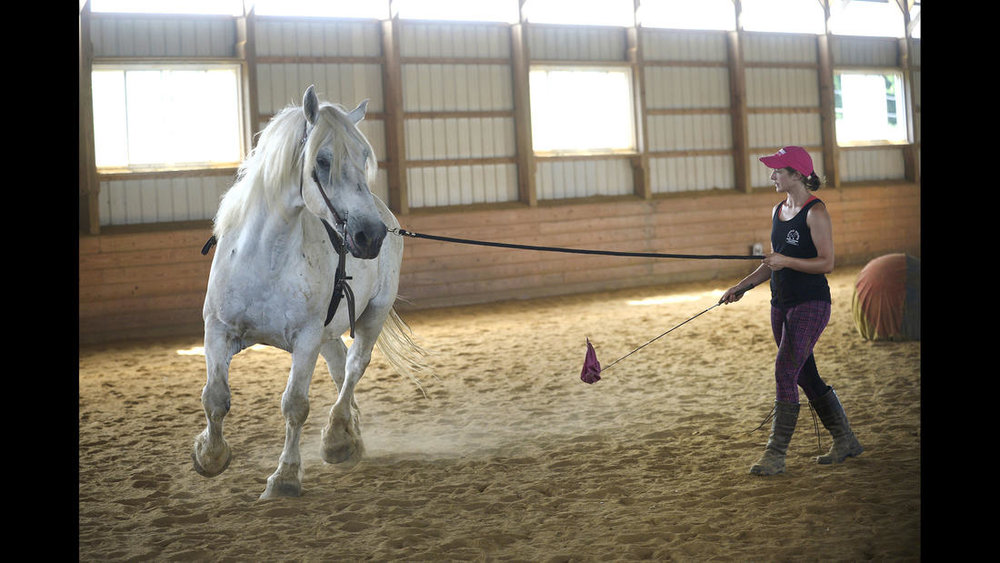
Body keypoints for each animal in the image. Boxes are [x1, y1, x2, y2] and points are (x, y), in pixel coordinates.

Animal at [194, 83, 422, 498]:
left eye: (364, 157)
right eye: (323, 161)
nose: (370, 236)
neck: (264, 258)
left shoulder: (305, 339)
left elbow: (295, 405)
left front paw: (284, 477)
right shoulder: (218, 331)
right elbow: (215, 397)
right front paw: (209, 456)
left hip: (372, 314)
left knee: (354, 366)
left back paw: (337, 440)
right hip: (328, 334)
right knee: (339, 367)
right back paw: (350, 433)